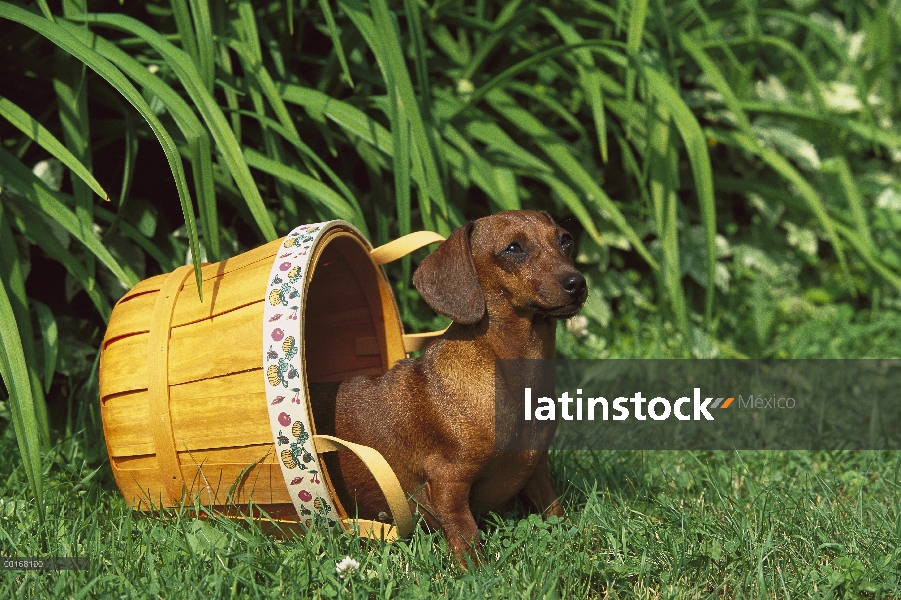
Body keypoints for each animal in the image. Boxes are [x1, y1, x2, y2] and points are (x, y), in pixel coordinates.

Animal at [334, 210, 588, 556]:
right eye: (514, 248)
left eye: (566, 240)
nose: (577, 283)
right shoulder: (448, 483)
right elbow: (466, 535)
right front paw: (479, 569)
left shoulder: (537, 471)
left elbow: (554, 511)